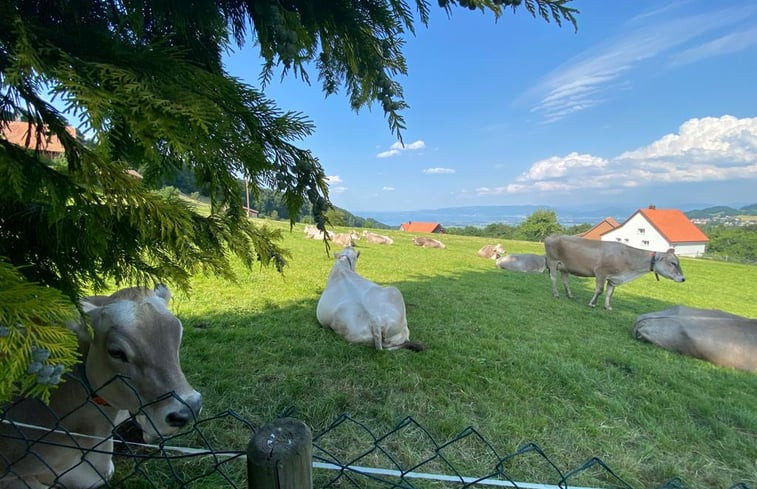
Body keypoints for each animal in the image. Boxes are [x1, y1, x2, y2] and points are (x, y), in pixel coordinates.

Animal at [544, 235, 684, 310]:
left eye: (678, 262)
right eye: (673, 263)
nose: (683, 279)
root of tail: (551, 236)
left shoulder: (613, 279)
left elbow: (610, 293)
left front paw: (607, 307)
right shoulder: (601, 272)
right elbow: (600, 290)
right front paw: (592, 304)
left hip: (565, 267)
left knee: (565, 280)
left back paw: (569, 295)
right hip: (553, 262)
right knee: (553, 278)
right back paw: (556, 294)